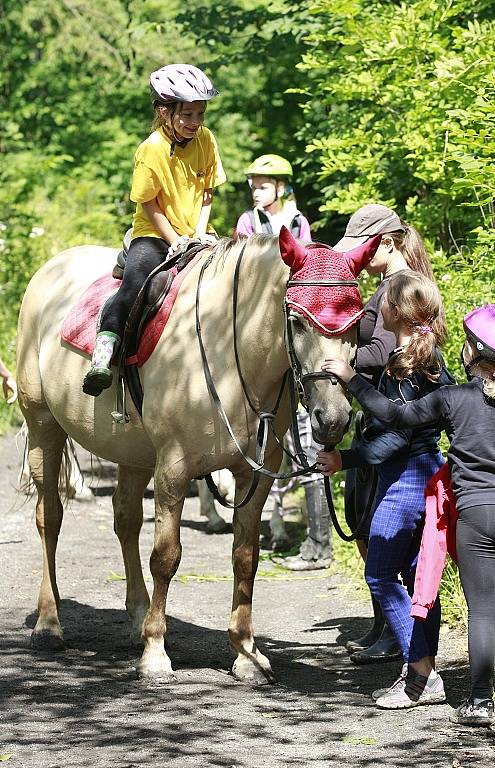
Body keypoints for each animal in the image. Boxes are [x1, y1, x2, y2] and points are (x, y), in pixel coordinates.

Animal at [16, 228, 380, 684]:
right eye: (296, 321)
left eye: (358, 323)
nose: (332, 418)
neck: (229, 350)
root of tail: (52, 267)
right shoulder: (173, 468)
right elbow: (166, 557)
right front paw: (155, 654)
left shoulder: (255, 475)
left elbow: (245, 557)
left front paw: (246, 653)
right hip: (43, 426)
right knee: (50, 518)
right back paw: (49, 625)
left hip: (133, 453)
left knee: (125, 519)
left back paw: (137, 617)